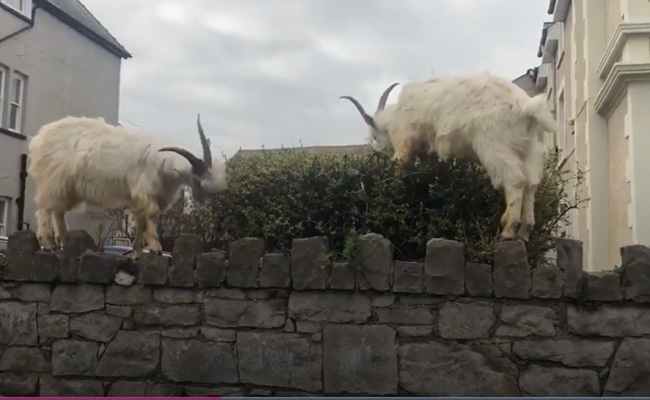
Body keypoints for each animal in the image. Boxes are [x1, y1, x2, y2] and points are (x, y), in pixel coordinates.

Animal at [27, 114, 227, 257]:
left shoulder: (146, 197)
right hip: (53, 179)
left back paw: (64, 240)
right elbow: (150, 216)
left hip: (66, 187)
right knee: (45, 208)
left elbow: (141, 220)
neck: (162, 164)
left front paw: (137, 252)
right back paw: (48, 244)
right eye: (198, 181)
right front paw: (155, 247)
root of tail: (39, 138)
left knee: (58, 210)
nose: (205, 205)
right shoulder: (145, 192)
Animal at [340, 71, 556, 242]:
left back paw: (508, 230)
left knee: (515, 180)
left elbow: (400, 166)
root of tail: (526, 107)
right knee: (531, 184)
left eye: (375, 136)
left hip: (495, 145)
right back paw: (525, 232)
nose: (374, 153)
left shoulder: (404, 141)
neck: (395, 117)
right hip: (531, 150)